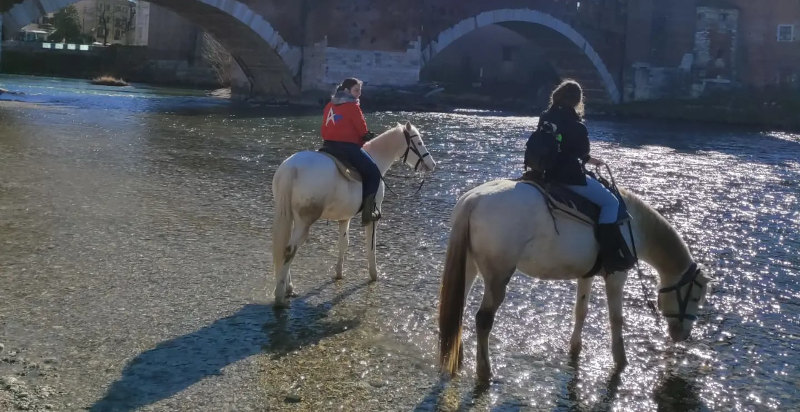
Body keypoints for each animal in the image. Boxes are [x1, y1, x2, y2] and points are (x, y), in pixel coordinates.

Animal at [271, 121, 436, 308]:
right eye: (419, 142)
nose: (432, 164)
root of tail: (292, 168)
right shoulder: (373, 216)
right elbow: (371, 246)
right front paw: (374, 274)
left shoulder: (344, 217)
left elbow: (343, 244)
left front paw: (339, 273)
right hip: (303, 222)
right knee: (290, 250)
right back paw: (280, 294)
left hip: (290, 217)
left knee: (285, 248)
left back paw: (288, 286)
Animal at [437, 179, 711, 382]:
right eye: (696, 295)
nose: (682, 335)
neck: (634, 225)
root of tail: (473, 201)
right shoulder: (617, 276)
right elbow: (616, 319)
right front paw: (621, 359)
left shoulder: (586, 275)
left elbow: (581, 310)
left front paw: (575, 348)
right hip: (498, 276)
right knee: (483, 320)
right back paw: (485, 371)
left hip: (469, 267)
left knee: (458, 307)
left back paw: (458, 356)